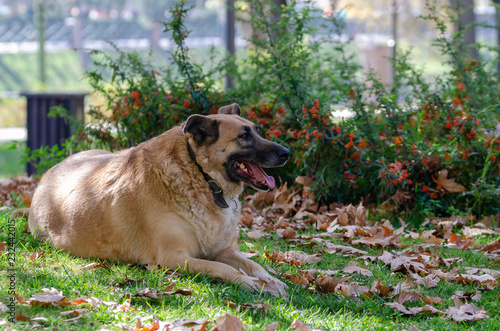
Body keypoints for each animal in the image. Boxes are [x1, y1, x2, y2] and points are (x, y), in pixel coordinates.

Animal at [28, 104, 290, 296]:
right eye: (244, 136)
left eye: (257, 131)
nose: (287, 153)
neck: (201, 176)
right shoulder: (173, 257)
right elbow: (223, 268)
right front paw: (251, 283)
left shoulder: (225, 250)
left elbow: (254, 265)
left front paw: (270, 279)